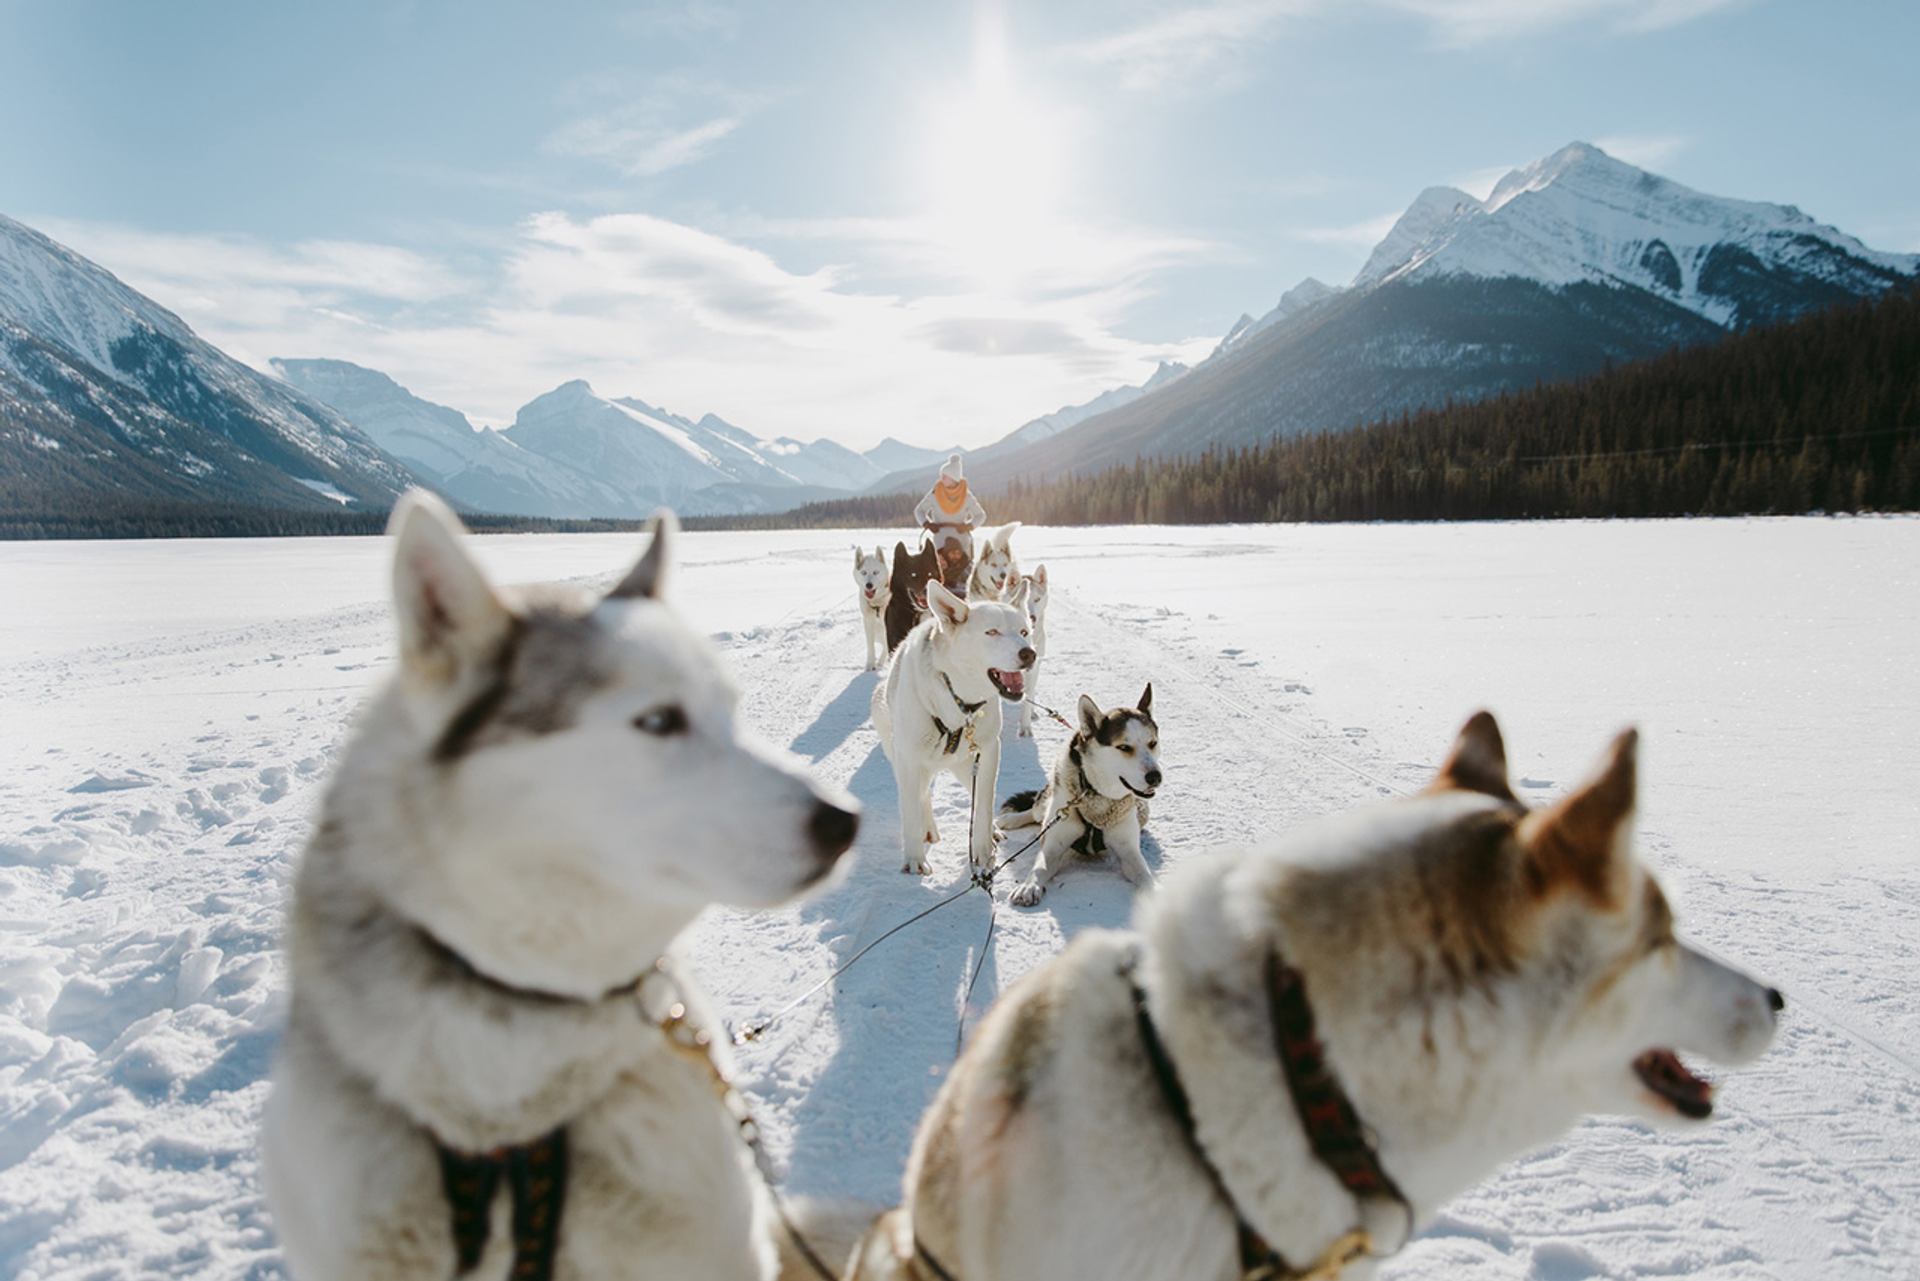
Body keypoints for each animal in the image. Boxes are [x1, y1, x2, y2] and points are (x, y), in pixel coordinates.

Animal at [856, 545, 890, 676]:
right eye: (864, 572)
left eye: (876, 572)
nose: (869, 585)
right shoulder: (868, 621)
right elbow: (870, 645)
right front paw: (870, 665)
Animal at [875, 583, 1036, 875]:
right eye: (992, 632)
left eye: (1023, 632)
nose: (1029, 653)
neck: (958, 701)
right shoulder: (908, 759)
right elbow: (911, 811)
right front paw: (914, 859)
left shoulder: (988, 752)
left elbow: (983, 806)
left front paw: (983, 852)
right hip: (905, 758)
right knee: (921, 795)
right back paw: (927, 828)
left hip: (965, 766)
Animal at [998, 687, 1159, 906]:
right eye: (1124, 747)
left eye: (1153, 743)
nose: (1155, 776)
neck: (1096, 795)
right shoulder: (1053, 845)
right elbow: (1039, 868)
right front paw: (1028, 887)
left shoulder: (1129, 852)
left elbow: (1145, 875)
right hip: (1048, 804)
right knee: (1035, 812)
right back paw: (1010, 819)